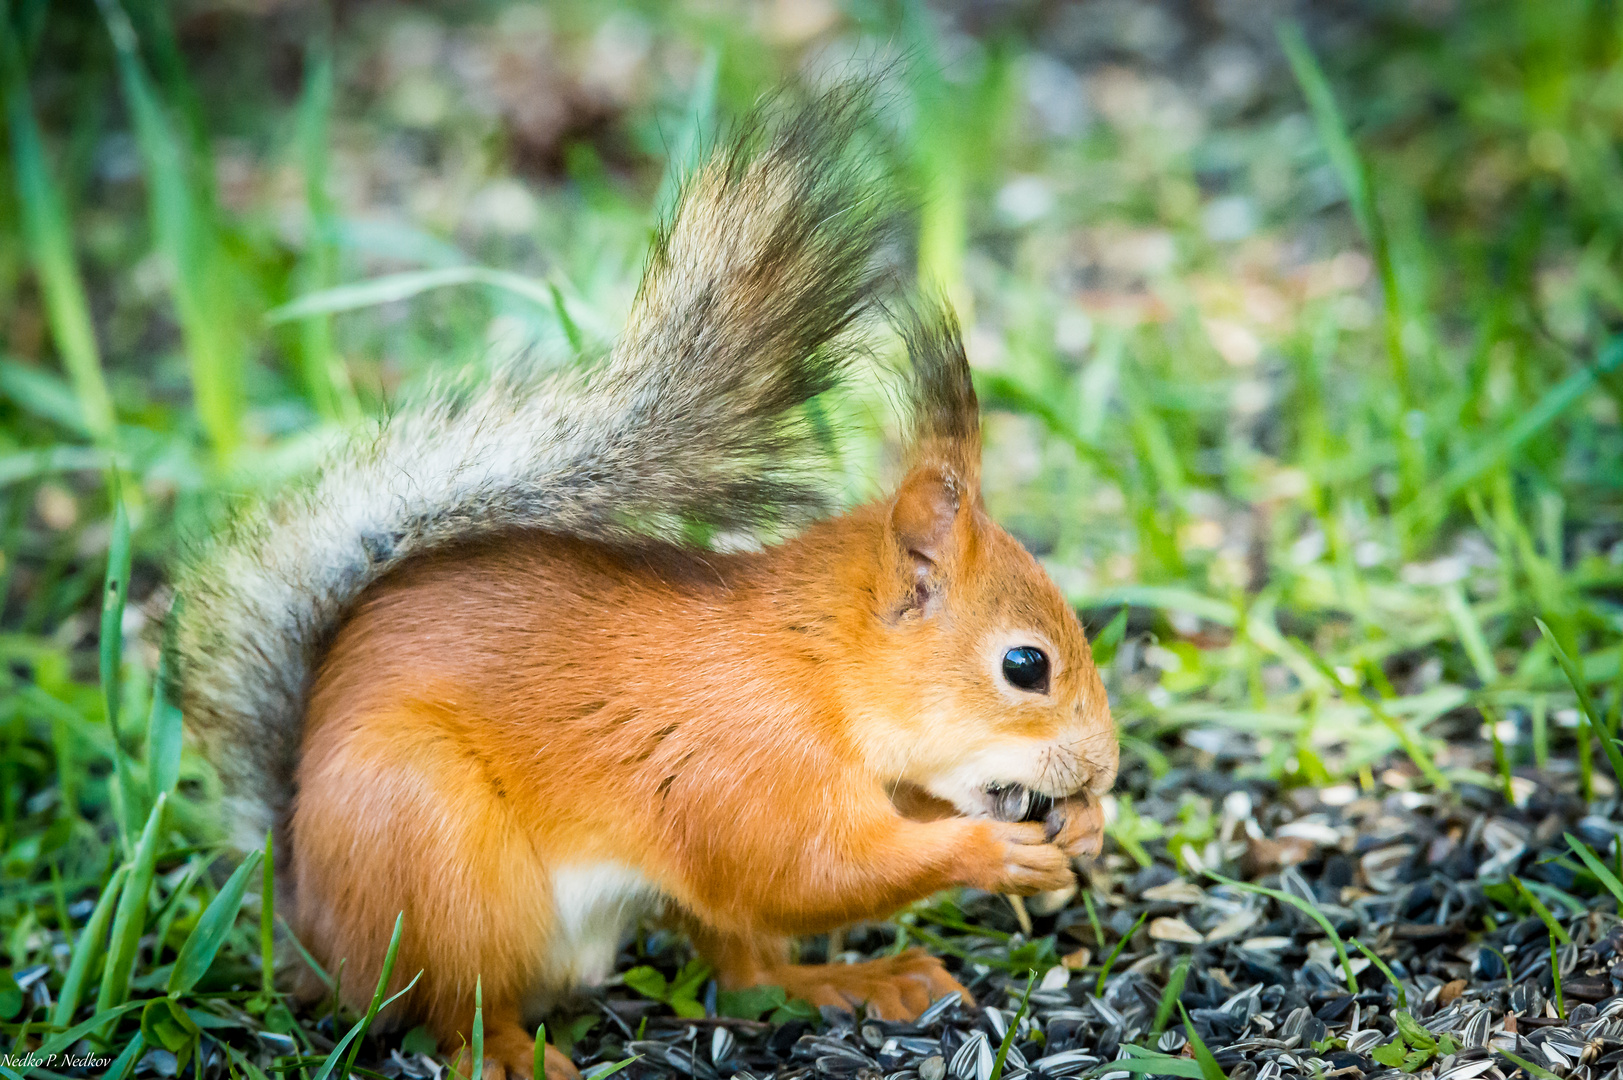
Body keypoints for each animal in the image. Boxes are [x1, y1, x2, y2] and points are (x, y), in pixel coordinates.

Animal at [174, 90, 1116, 1078]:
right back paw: (507, 1050)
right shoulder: (748, 765)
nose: (1104, 766)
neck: (814, 665)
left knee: (746, 971)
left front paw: (1085, 826)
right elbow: (807, 872)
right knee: (453, 1002)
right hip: (432, 848)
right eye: (1024, 666)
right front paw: (990, 852)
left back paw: (853, 982)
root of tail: (314, 930)